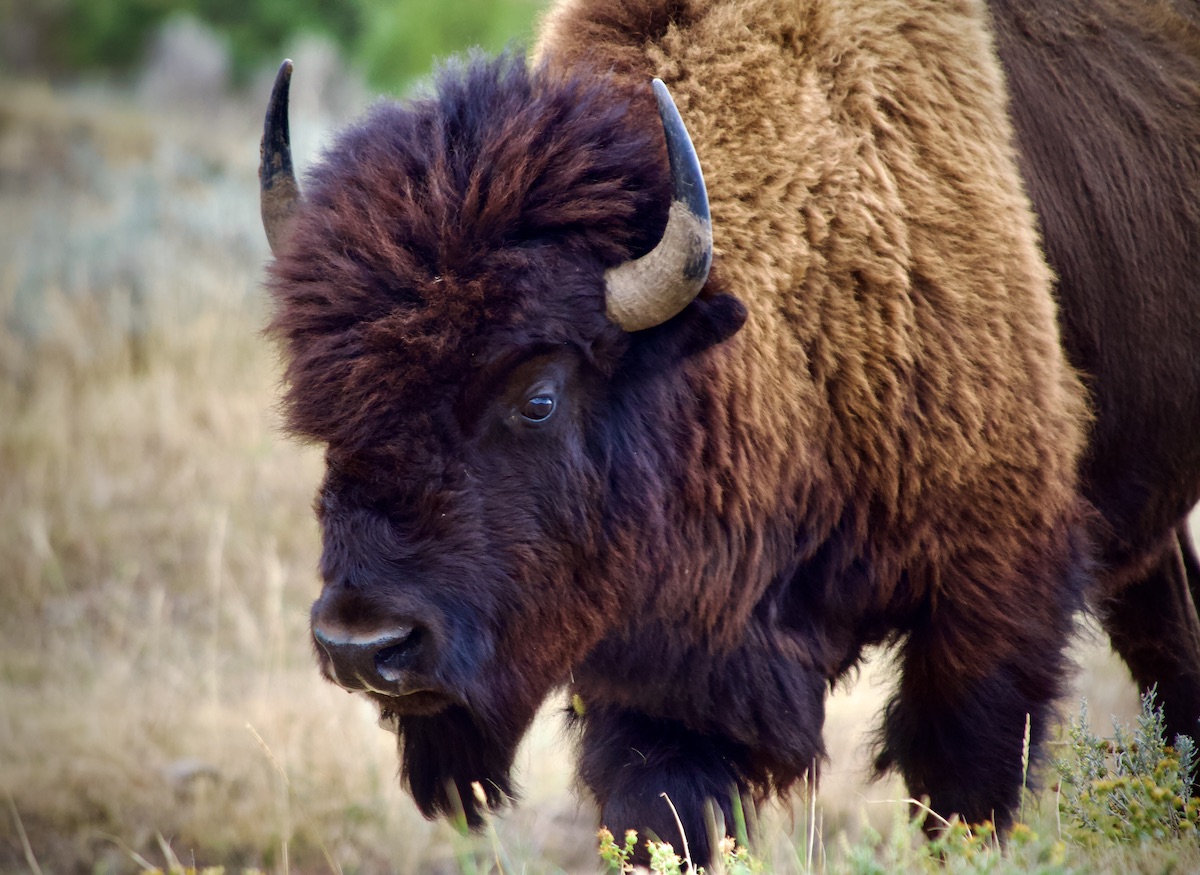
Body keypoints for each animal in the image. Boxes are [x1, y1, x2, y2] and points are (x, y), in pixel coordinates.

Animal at [262, 0, 1200, 864]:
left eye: (538, 397)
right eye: (324, 401)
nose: (363, 644)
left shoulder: (993, 602)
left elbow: (960, 793)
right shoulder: (664, 677)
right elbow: (660, 816)